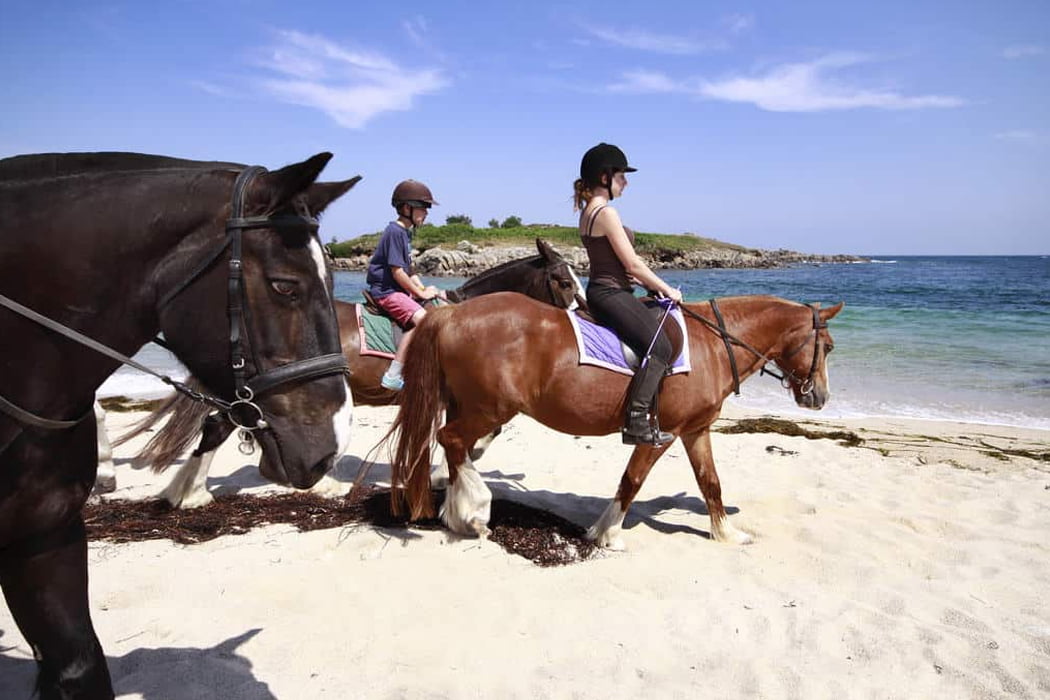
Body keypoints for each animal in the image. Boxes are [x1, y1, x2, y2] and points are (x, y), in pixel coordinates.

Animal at [114, 239, 584, 508]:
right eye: (564, 281)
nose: (585, 316)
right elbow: (479, 434)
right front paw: (444, 473)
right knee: (216, 428)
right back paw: (192, 493)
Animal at [384, 292, 843, 550]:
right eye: (829, 346)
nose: (820, 397)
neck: (712, 344)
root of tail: (452, 314)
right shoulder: (662, 434)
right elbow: (632, 480)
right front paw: (608, 532)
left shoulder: (696, 430)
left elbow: (710, 483)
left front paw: (727, 533)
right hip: (489, 409)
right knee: (451, 439)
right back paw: (475, 511)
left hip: (470, 405)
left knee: (453, 446)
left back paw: (456, 510)